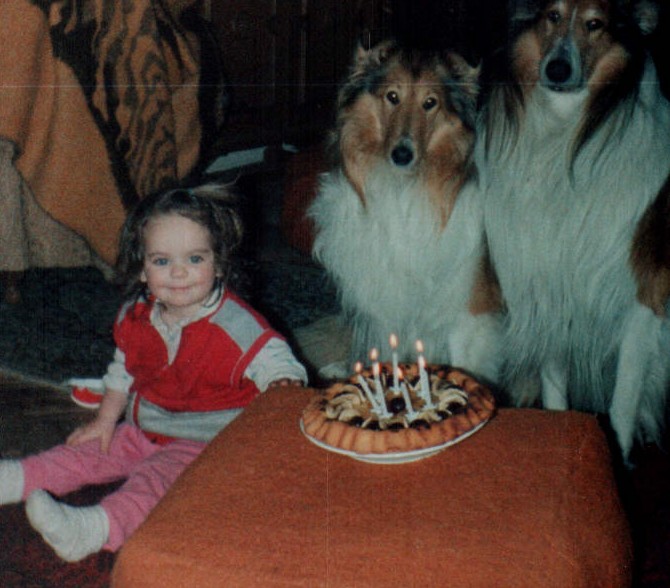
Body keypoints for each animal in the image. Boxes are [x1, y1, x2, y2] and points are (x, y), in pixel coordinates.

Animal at [309, 40, 502, 383]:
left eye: (430, 103)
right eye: (392, 97)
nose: (402, 154)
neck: (404, 189)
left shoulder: (470, 311)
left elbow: (466, 361)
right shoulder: (384, 309)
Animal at [478, 0, 670, 462]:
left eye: (595, 23)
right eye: (552, 15)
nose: (558, 69)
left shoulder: (644, 300)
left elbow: (622, 402)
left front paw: (616, 457)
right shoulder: (552, 283)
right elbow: (555, 386)